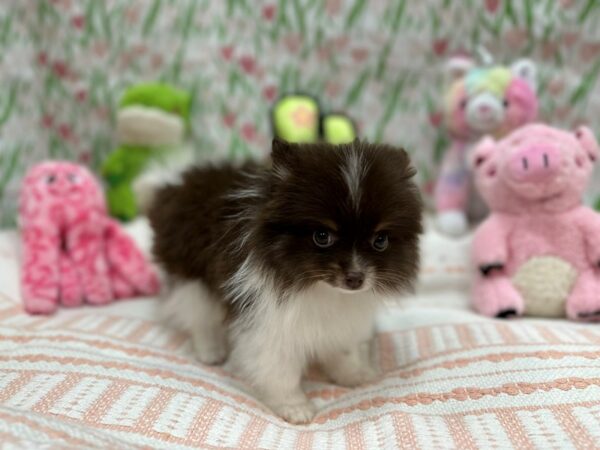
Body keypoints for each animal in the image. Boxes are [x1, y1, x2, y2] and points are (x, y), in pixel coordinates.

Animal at [149, 139, 422, 424]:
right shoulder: (267, 320)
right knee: (198, 314)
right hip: (190, 274)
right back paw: (210, 350)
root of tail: (175, 184)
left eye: (380, 241)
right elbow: (280, 371)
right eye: (322, 236)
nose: (355, 278)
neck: (322, 288)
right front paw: (295, 407)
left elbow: (341, 348)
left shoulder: (338, 319)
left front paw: (353, 373)